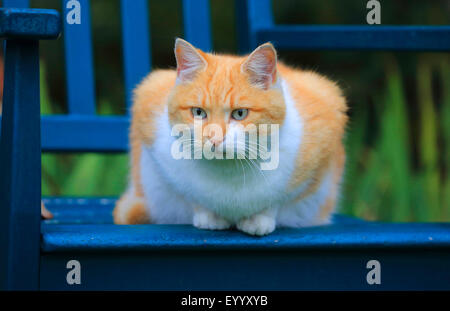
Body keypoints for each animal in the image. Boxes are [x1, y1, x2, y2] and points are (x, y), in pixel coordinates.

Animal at [113, 37, 348, 235]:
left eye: (240, 113)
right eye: (198, 112)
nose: (214, 138)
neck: (229, 170)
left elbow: (276, 201)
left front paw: (259, 220)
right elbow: (191, 195)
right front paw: (208, 217)